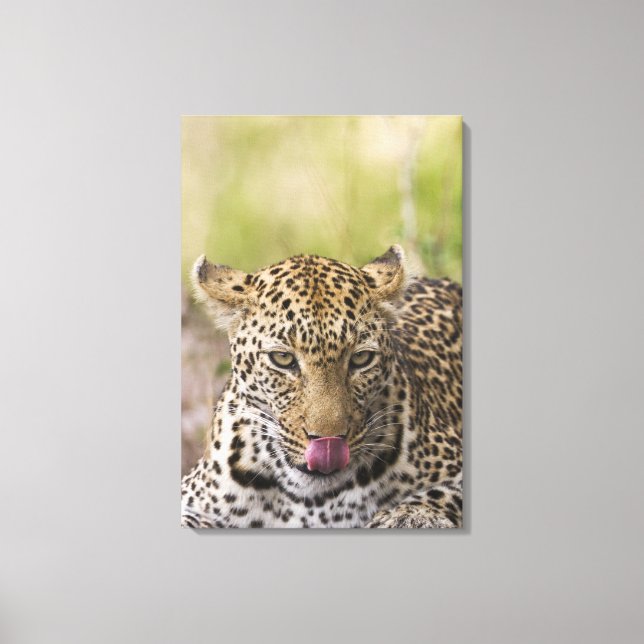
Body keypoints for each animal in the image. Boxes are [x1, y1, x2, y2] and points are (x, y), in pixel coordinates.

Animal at [181, 245, 462, 529]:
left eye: (361, 358)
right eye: (282, 359)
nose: (328, 442)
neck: (309, 498)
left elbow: (437, 495)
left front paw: (408, 518)